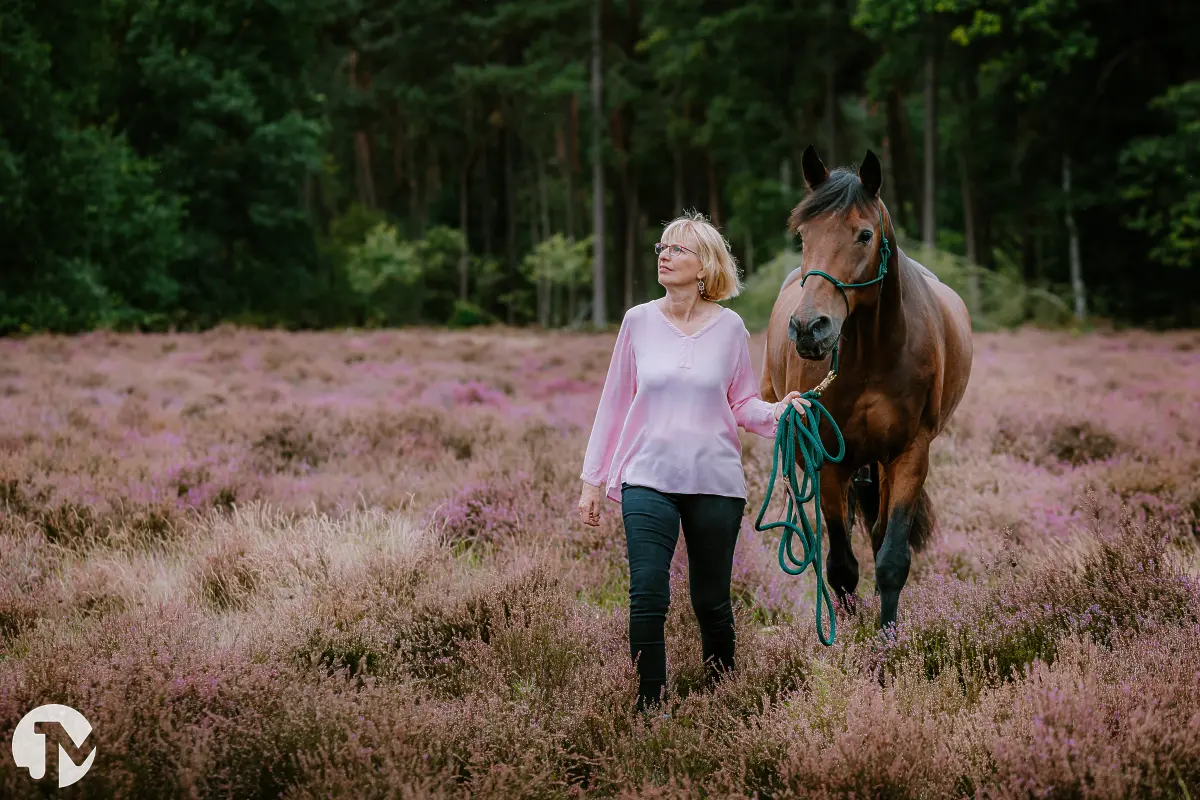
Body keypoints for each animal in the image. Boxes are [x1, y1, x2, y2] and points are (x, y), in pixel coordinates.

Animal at [759, 145, 974, 630]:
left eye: (863, 234)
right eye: (803, 235)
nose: (809, 328)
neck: (874, 352)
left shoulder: (910, 453)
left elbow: (891, 557)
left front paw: (887, 636)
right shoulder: (827, 458)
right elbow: (840, 566)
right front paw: (846, 634)